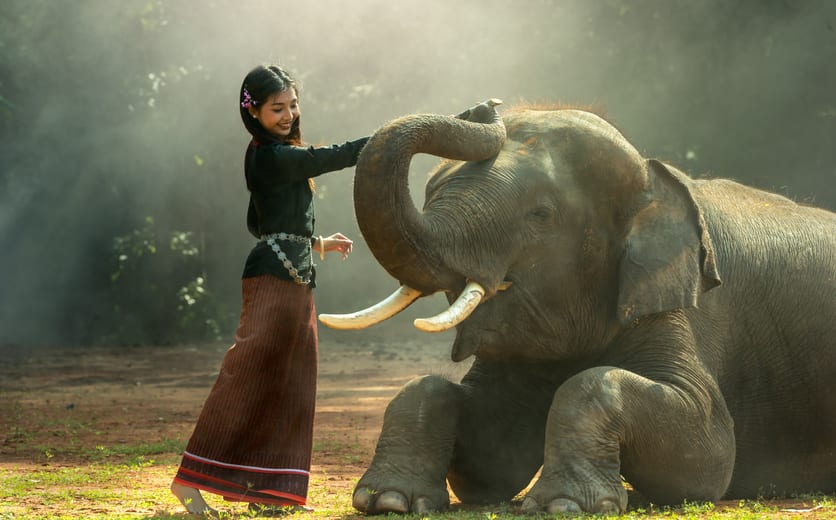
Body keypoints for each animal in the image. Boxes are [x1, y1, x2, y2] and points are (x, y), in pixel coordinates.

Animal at [319, 100, 836, 514]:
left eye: (541, 214)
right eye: (430, 194)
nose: (485, 106)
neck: (654, 177)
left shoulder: (677, 303)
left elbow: (708, 452)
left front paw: (564, 506)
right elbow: (490, 456)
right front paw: (389, 501)